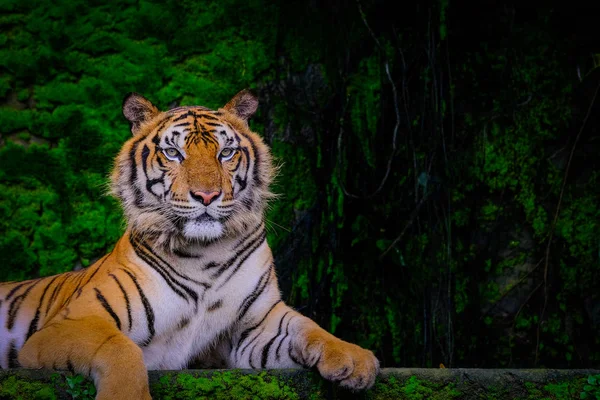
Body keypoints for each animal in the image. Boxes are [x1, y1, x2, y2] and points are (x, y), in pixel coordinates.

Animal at [0, 90, 380, 400]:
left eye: (226, 153)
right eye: (173, 152)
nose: (207, 195)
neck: (204, 253)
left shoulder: (255, 324)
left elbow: (307, 326)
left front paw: (354, 358)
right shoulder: (72, 323)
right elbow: (120, 349)